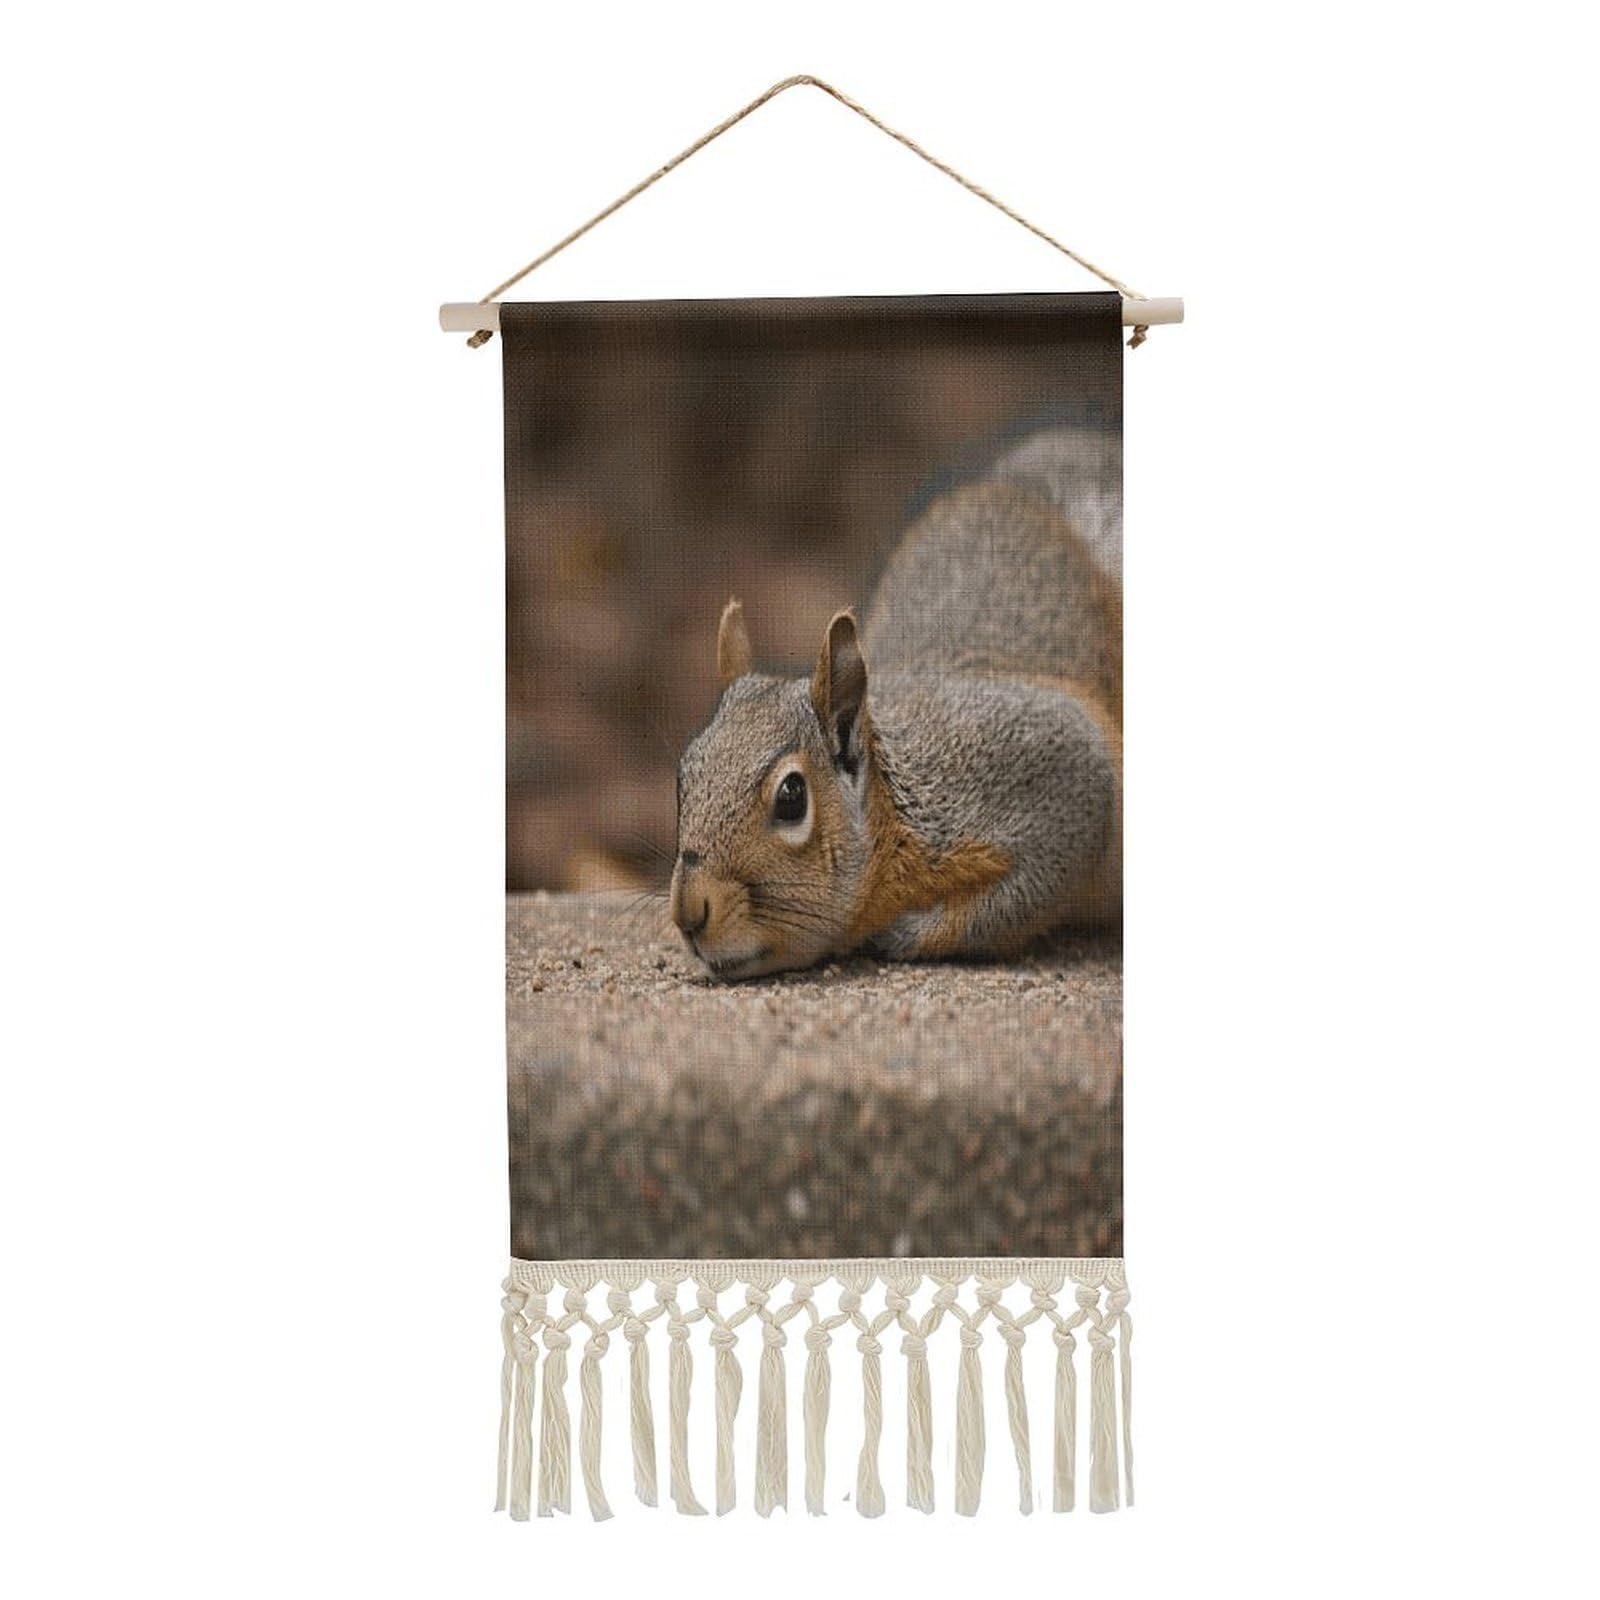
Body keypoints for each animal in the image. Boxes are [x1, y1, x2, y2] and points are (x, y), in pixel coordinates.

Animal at [670, 428, 1122, 980]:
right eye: (683, 776)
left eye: (792, 797)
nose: (689, 912)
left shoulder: (1051, 765)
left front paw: (904, 933)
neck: (894, 816)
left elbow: (1023, 895)